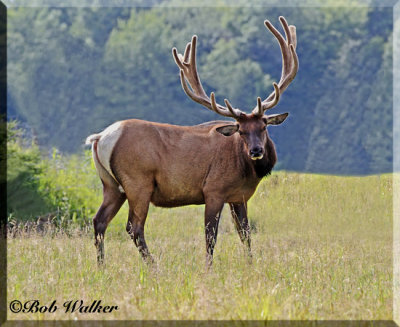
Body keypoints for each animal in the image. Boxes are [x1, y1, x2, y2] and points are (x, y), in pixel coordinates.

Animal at [88, 16, 300, 266]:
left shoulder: (238, 197)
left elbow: (245, 235)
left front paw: (250, 264)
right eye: (241, 130)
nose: (256, 150)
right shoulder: (214, 189)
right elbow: (211, 236)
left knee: (99, 221)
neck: (245, 170)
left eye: (264, 126)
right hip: (137, 182)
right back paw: (154, 267)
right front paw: (208, 268)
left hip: (111, 185)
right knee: (134, 227)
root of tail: (100, 138)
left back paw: (102, 266)